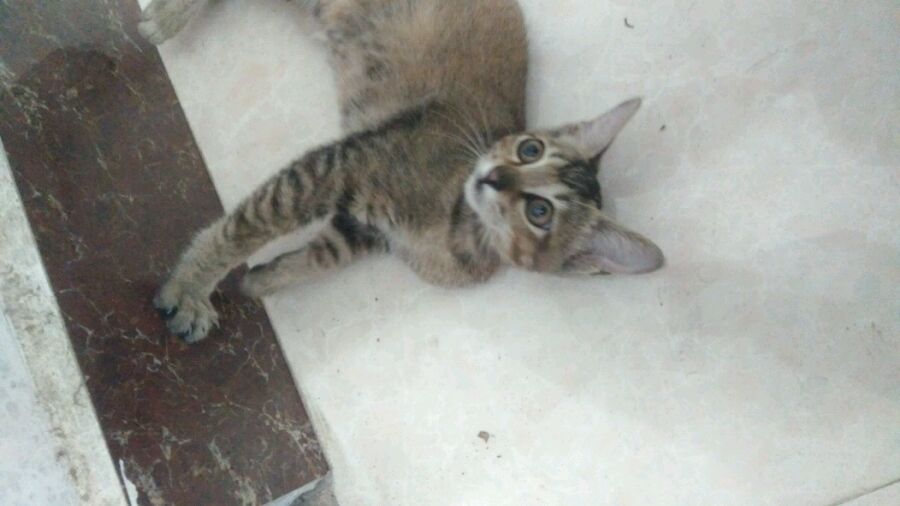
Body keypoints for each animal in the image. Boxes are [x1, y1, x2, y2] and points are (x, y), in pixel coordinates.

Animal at [143, 0, 665, 343]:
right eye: (529, 148)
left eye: (540, 212)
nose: (493, 176)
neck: (458, 225)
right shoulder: (339, 166)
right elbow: (243, 228)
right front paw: (192, 288)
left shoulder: (360, 228)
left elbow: (318, 258)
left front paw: (264, 280)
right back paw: (166, 17)